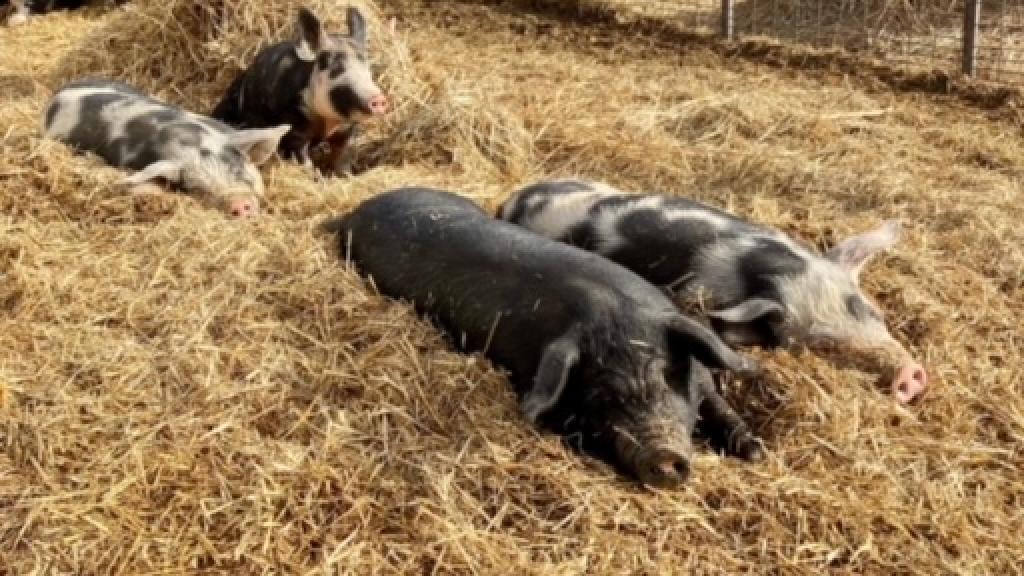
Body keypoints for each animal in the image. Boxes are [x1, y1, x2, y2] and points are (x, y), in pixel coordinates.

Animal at [212, 6, 388, 177]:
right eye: (331, 66)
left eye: (367, 66)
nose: (378, 98)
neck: (326, 124)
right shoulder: (294, 125)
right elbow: (303, 160)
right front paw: (315, 178)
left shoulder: (348, 130)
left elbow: (343, 160)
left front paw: (343, 177)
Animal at [324, 187, 763, 487]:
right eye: (600, 396)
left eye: (665, 374)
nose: (666, 457)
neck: (612, 314)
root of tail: (358, 209)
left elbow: (720, 406)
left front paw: (756, 451)